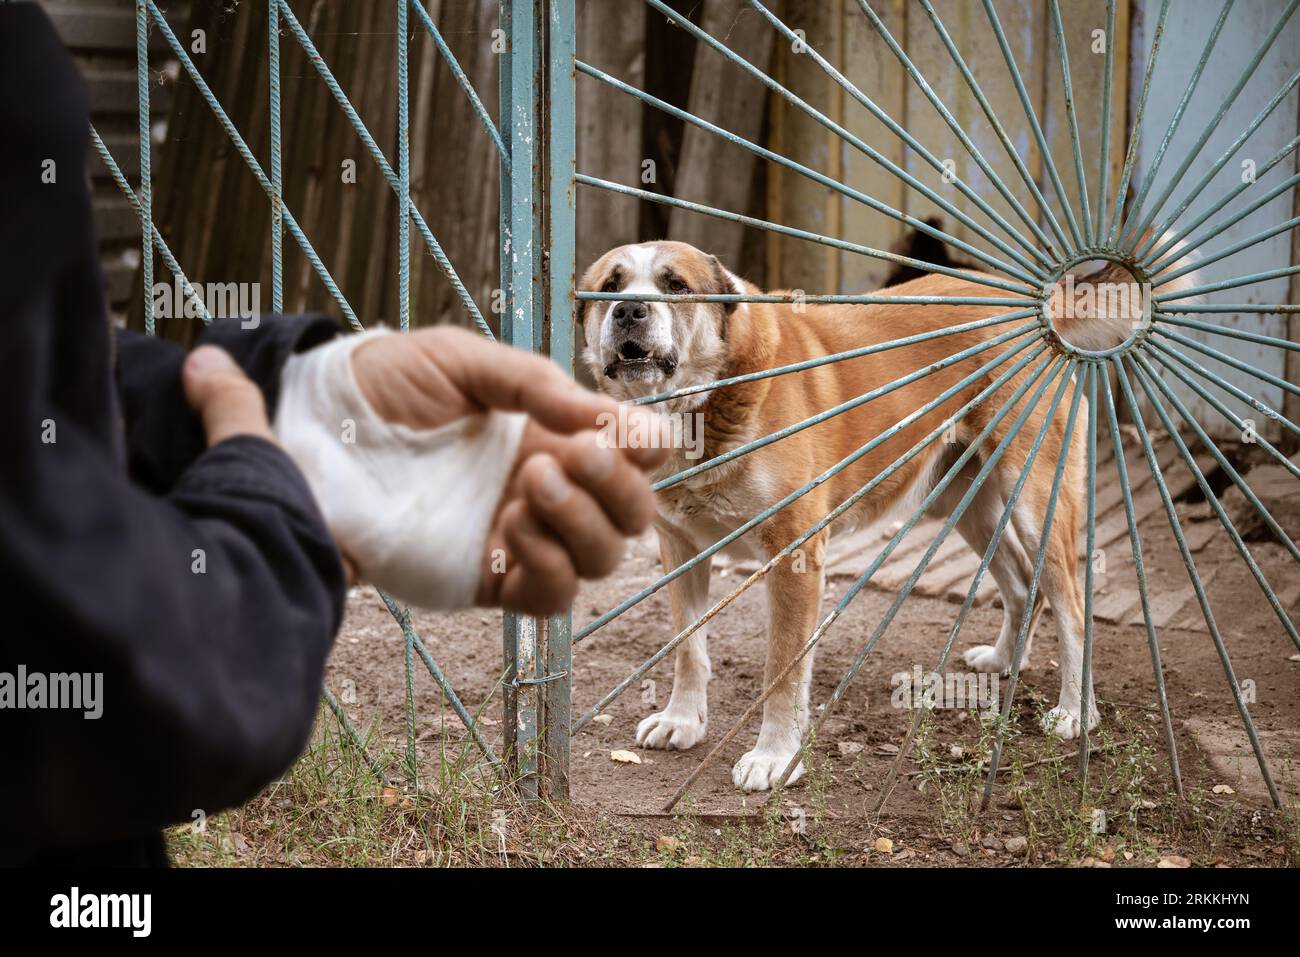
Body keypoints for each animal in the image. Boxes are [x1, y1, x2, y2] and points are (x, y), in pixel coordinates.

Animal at [585, 240, 1190, 790]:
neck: (701, 407)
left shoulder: (795, 556)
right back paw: (1002, 662)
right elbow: (688, 648)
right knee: (1023, 585)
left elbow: (783, 670)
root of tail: (1036, 307)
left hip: (1037, 500)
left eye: (675, 285)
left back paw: (1075, 713)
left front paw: (775, 757)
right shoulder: (680, 548)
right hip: (967, 504)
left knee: (1072, 608)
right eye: (610, 286)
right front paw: (682, 721)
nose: (628, 311)